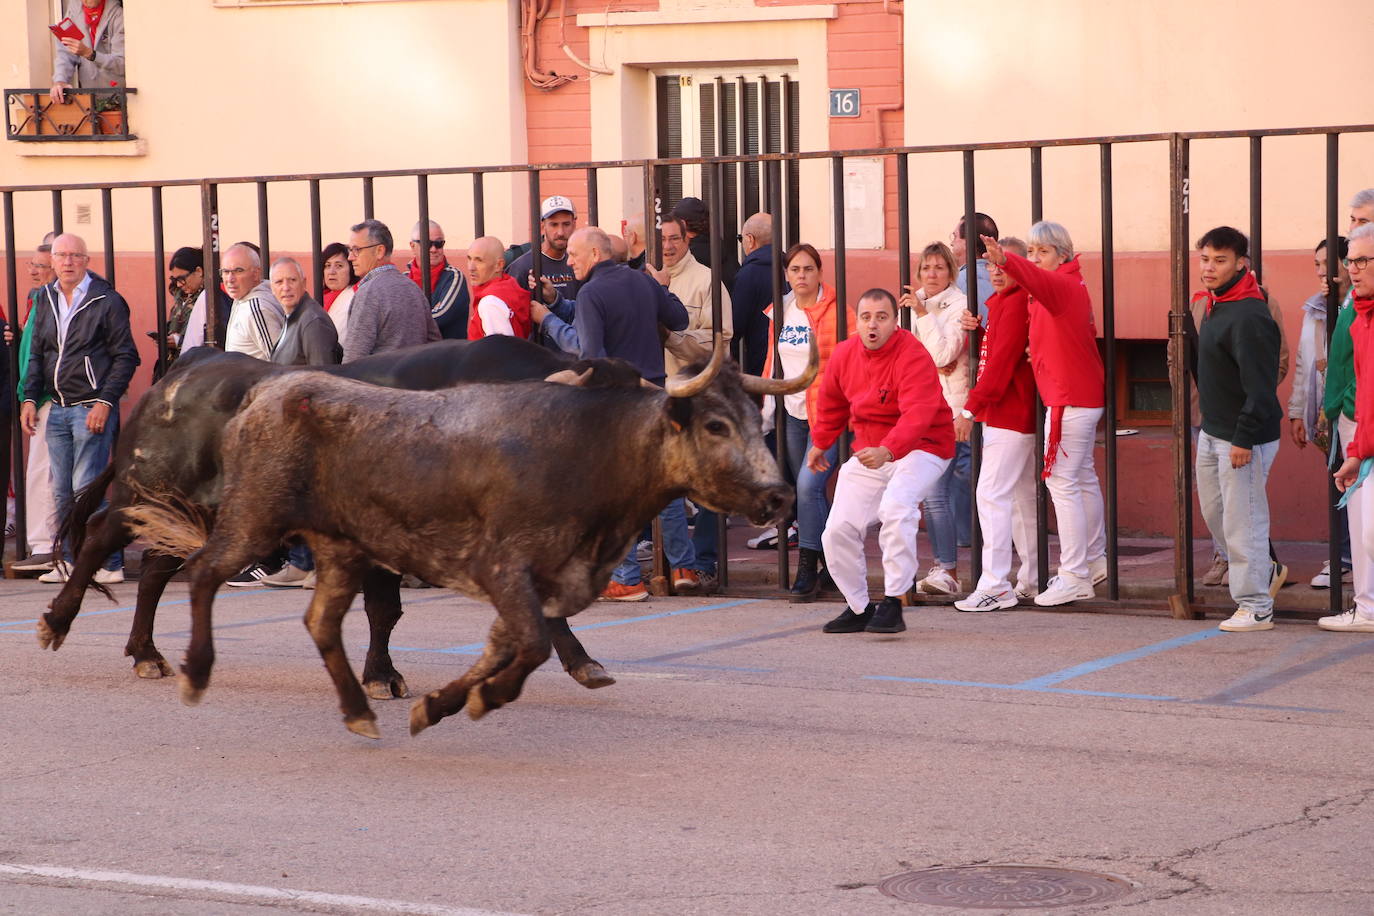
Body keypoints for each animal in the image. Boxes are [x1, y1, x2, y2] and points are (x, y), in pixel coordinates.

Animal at [127, 340, 807, 741]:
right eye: (716, 424)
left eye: (752, 419)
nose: (779, 496)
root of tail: (260, 391)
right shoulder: (504, 566)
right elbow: (527, 645)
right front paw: (473, 698)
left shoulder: (539, 580)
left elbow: (507, 645)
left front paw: (439, 702)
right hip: (243, 518)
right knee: (193, 571)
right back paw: (181, 667)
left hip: (333, 546)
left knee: (317, 620)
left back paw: (357, 709)